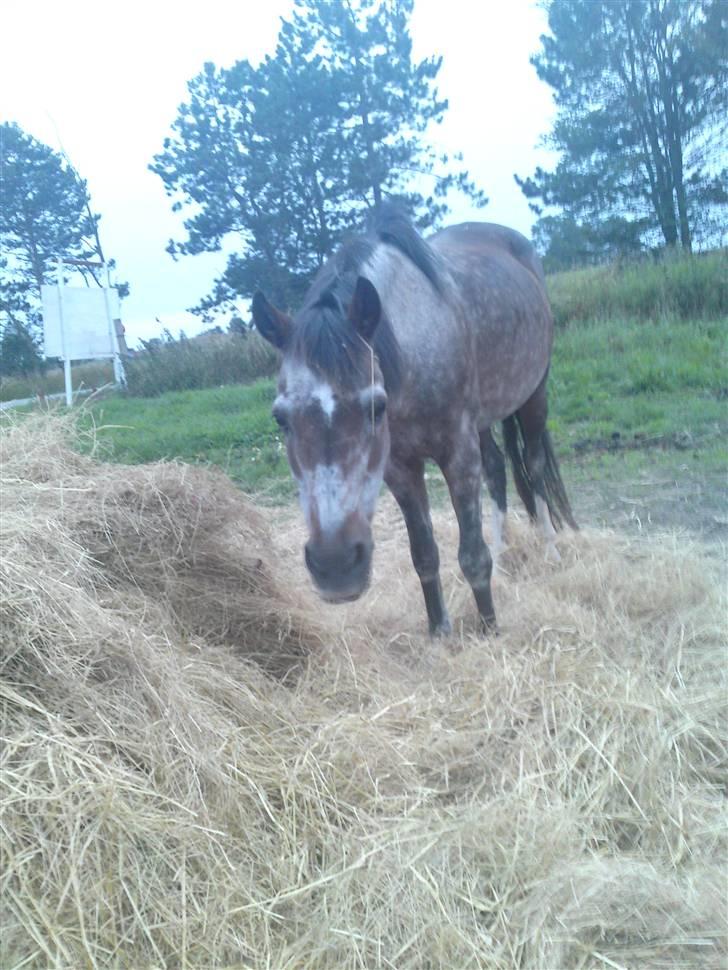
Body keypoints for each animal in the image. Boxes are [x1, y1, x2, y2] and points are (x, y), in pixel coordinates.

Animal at [253, 206, 576, 636]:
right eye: (280, 418)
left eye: (376, 406)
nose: (336, 566)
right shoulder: (400, 470)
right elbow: (423, 553)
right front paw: (439, 630)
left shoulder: (457, 454)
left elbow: (472, 555)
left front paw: (490, 629)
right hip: (484, 420)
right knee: (496, 470)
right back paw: (505, 547)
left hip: (534, 395)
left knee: (535, 465)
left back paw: (551, 548)